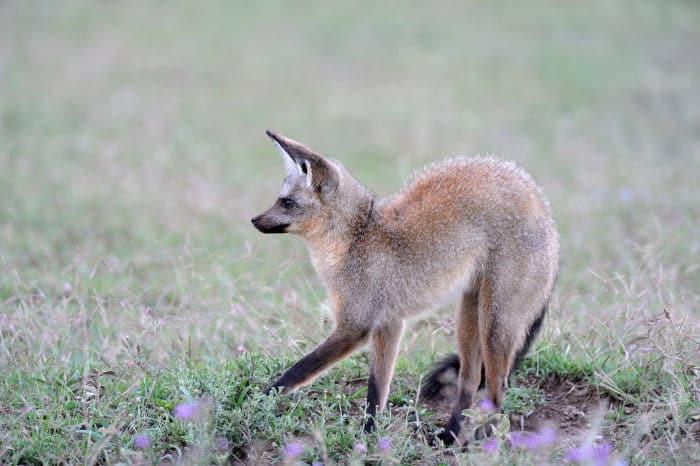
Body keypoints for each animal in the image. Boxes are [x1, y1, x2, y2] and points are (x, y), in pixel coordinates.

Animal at [252, 130, 556, 444]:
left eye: (287, 202)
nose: (254, 220)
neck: (358, 237)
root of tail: (542, 206)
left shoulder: (356, 326)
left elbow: (297, 371)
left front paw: (259, 400)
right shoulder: (389, 324)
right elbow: (377, 391)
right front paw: (370, 434)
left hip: (495, 326)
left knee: (498, 389)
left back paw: (485, 439)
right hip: (470, 320)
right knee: (469, 382)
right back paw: (450, 435)